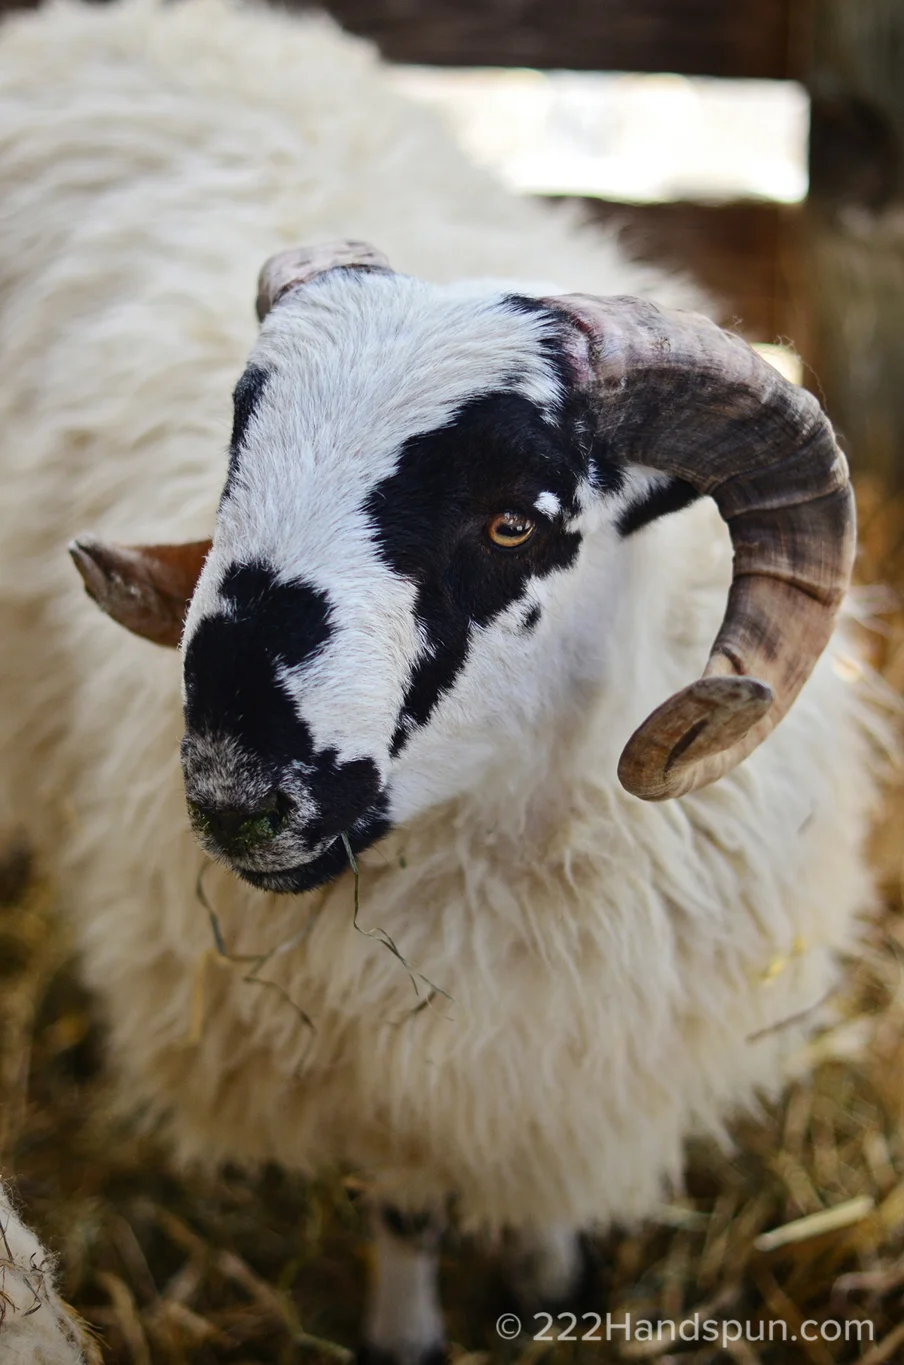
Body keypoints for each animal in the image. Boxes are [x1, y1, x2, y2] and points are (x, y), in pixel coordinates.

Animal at [0, 0, 884, 1360]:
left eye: (516, 522)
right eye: (234, 468)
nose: (237, 796)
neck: (504, 838)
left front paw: (549, 1277)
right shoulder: (395, 1081)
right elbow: (408, 1210)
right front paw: (409, 1333)